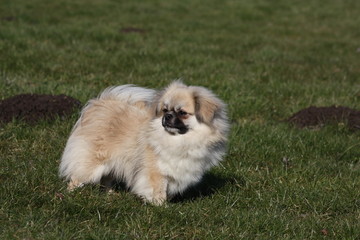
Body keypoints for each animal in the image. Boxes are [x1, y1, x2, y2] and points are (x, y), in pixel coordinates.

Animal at [58, 80, 228, 204]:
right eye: (165, 110)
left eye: (182, 113)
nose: (167, 116)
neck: (179, 140)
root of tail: (99, 105)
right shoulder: (156, 172)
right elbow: (158, 190)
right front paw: (161, 206)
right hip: (92, 164)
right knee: (77, 177)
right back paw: (71, 194)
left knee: (106, 180)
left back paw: (111, 195)